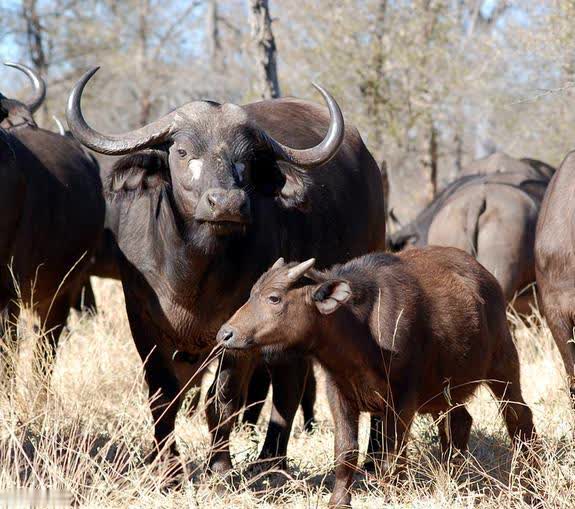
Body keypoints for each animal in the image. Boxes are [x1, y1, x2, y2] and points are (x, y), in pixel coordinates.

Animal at [66, 68, 386, 472]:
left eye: (246, 159)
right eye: (182, 151)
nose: (228, 203)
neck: (190, 270)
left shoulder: (242, 326)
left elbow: (223, 399)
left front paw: (218, 467)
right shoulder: (140, 318)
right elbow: (163, 396)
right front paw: (166, 466)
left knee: (292, 382)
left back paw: (288, 461)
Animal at [218, 248, 536, 507]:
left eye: (274, 298)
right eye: (251, 294)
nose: (226, 334)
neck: (359, 333)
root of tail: (487, 279)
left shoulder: (403, 400)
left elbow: (392, 453)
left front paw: (394, 493)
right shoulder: (339, 394)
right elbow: (346, 452)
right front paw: (339, 501)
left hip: (503, 363)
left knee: (518, 416)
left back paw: (528, 477)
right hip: (444, 391)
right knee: (458, 422)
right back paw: (453, 473)